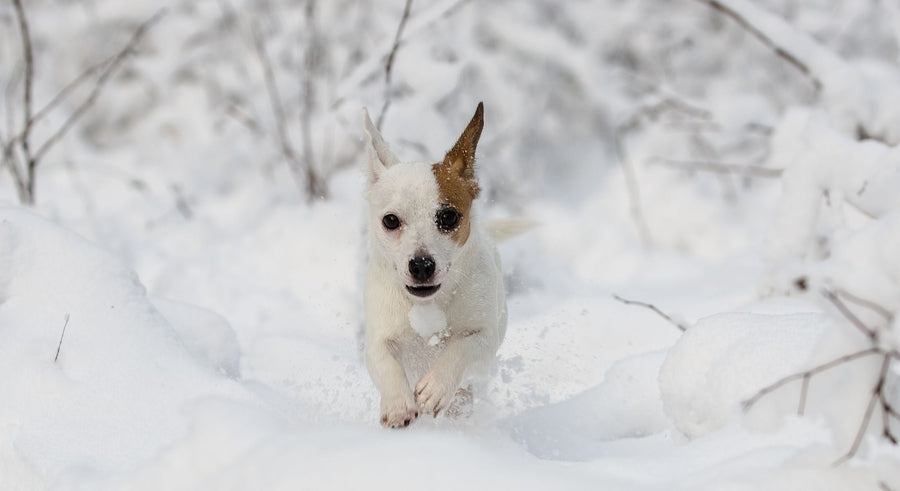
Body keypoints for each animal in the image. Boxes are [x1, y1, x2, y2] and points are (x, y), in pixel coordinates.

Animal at [360, 103, 516, 426]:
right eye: (390, 220)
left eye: (448, 217)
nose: (421, 264)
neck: (427, 306)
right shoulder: (378, 339)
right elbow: (385, 362)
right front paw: (397, 403)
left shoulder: (485, 339)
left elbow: (463, 347)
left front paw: (436, 386)